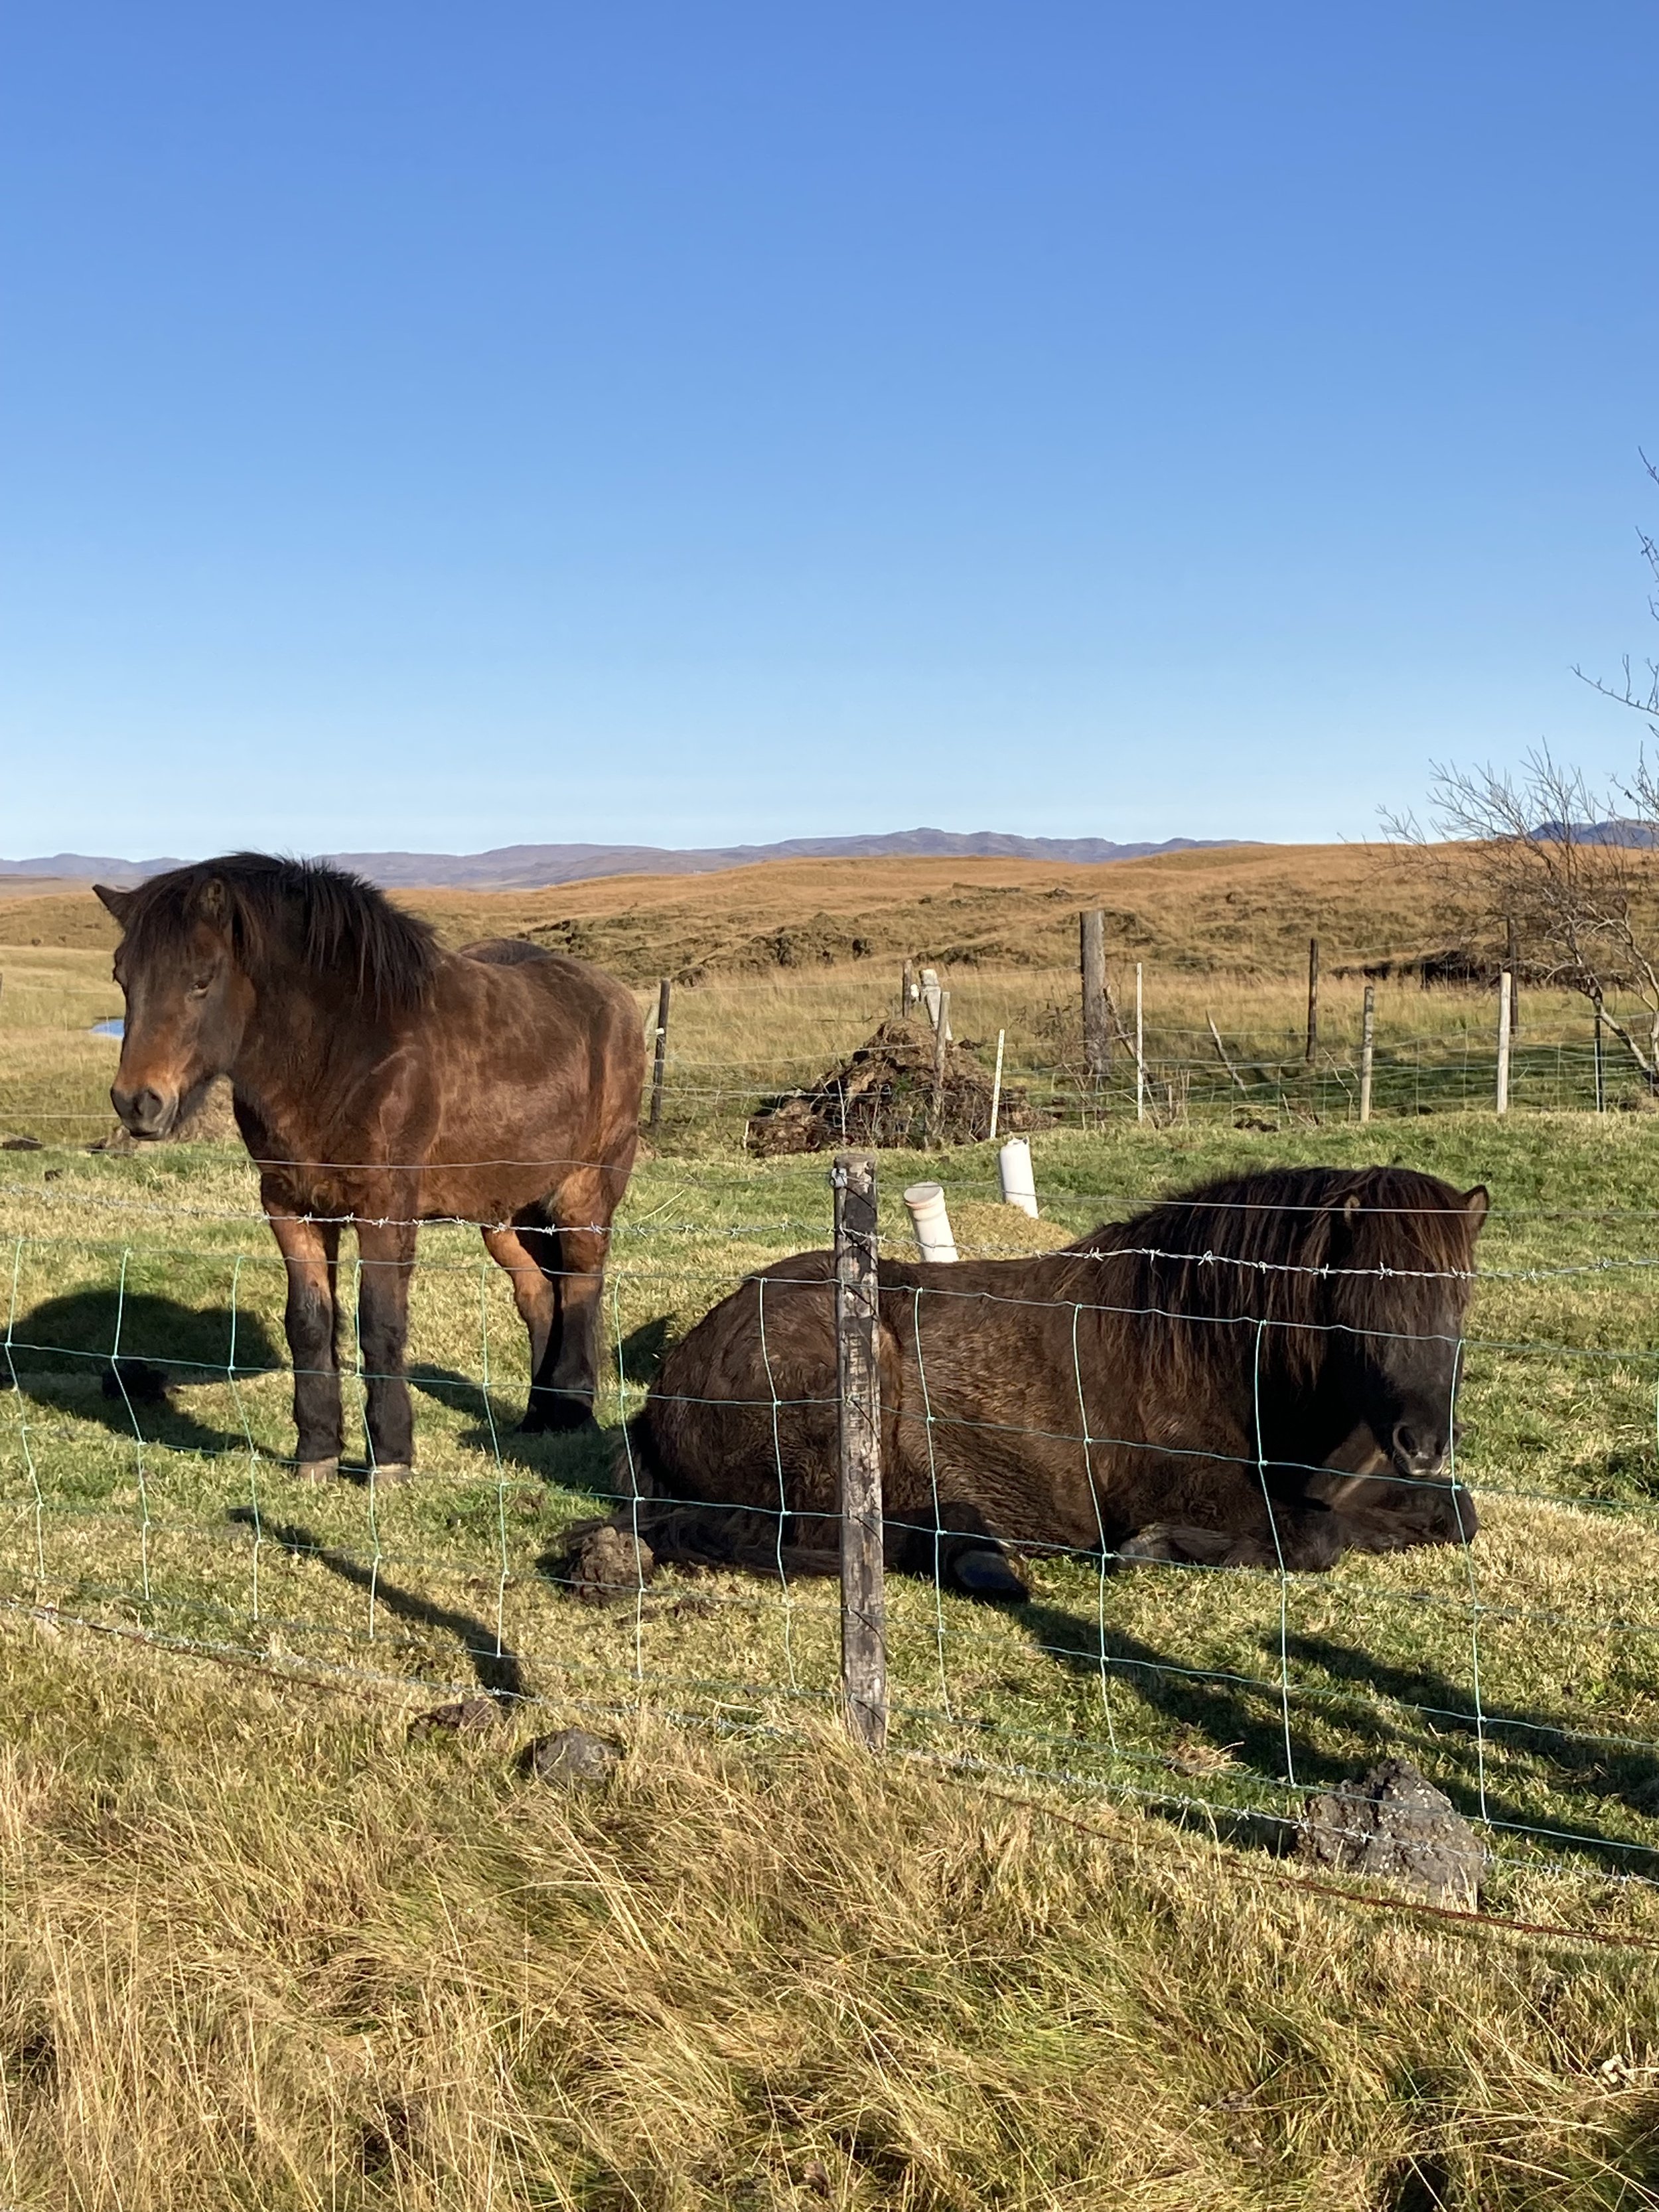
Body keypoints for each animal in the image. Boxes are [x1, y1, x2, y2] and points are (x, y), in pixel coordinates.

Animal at [94, 853, 646, 1477]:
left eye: (201, 978)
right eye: (122, 976)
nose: (138, 1102)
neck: (343, 1050)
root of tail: (619, 1000)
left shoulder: (383, 1209)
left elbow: (380, 1322)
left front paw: (391, 1458)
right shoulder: (291, 1204)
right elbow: (309, 1322)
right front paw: (317, 1451)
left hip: (583, 1194)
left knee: (581, 1287)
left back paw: (574, 1410)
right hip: (507, 1213)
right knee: (539, 1296)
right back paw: (538, 1417)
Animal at [628, 1159, 1495, 1592]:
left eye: (1459, 1298)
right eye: (1358, 1305)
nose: (1422, 1443)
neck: (1198, 1342)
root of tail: (671, 1381)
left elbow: (1457, 1513)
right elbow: (1316, 1539)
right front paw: (1157, 1548)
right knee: (851, 1532)